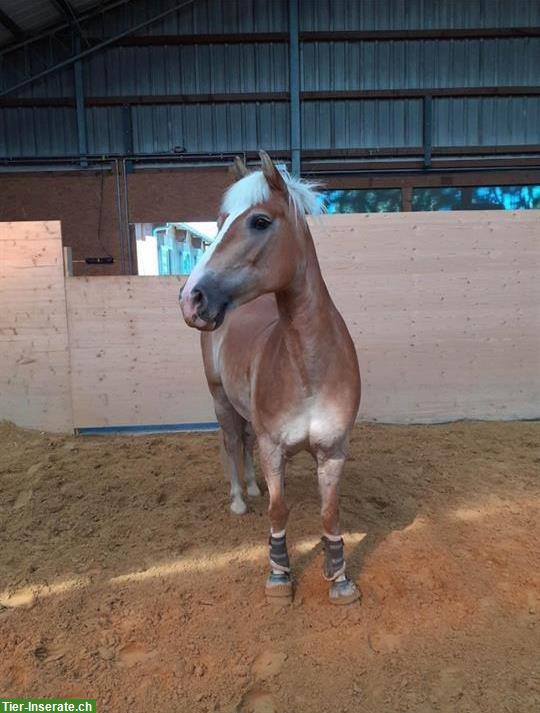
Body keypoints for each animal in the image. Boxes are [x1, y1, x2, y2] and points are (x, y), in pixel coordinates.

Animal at [179, 152, 360, 608]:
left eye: (259, 221)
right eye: (220, 221)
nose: (191, 298)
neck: (309, 370)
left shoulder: (333, 450)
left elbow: (330, 513)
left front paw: (339, 578)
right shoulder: (273, 449)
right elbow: (280, 511)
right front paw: (279, 576)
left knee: (243, 440)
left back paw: (252, 487)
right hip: (220, 398)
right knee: (231, 441)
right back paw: (240, 499)